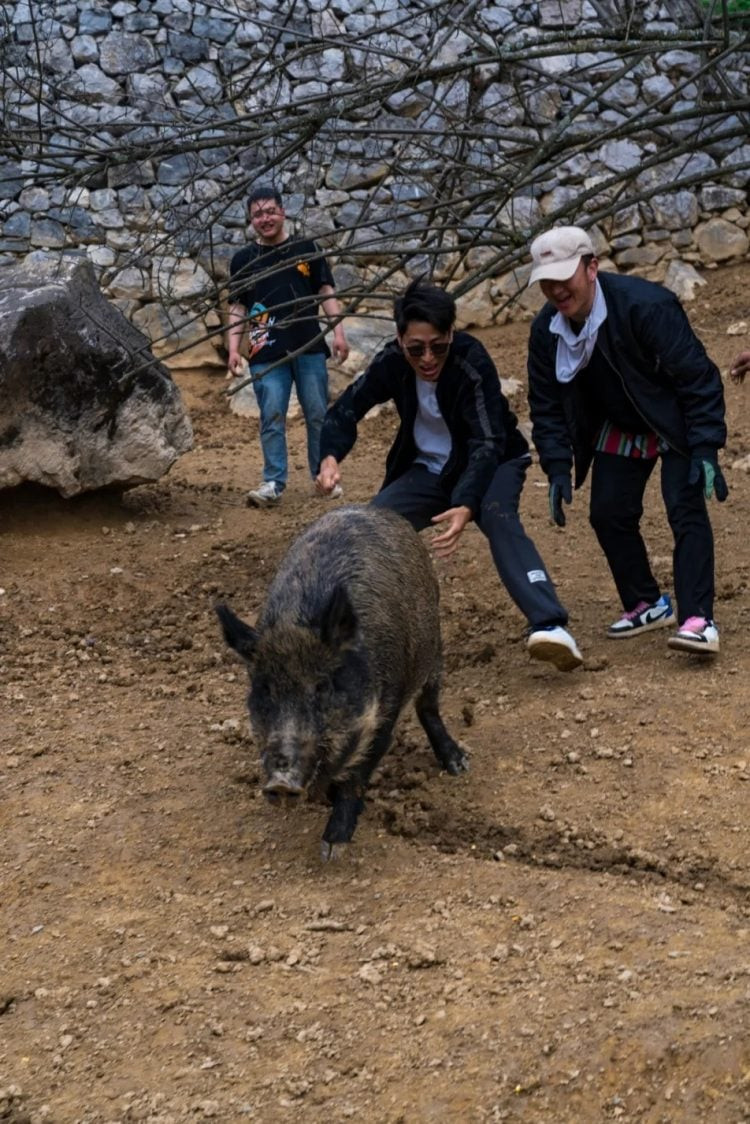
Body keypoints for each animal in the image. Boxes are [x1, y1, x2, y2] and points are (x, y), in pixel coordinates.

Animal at [216, 504, 467, 859]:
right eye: (265, 689)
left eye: (322, 686)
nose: (280, 782)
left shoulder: (385, 713)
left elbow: (356, 777)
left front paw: (332, 849)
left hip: (434, 647)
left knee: (428, 706)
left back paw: (459, 765)